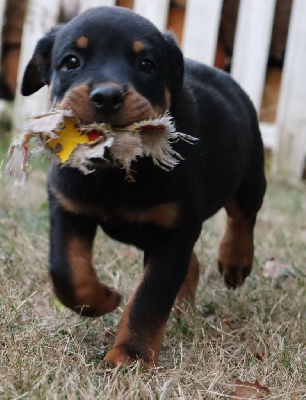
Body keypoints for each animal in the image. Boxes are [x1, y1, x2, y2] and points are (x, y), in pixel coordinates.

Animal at [20, 6, 266, 368]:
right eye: (71, 61)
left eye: (147, 64)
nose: (107, 96)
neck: (114, 172)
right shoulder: (67, 208)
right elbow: (67, 273)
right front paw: (104, 299)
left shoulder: (173, 231)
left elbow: (148, 300)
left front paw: (129, 357)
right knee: (192, 262)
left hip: (249, 174)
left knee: (242, 216)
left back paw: (235, 262)